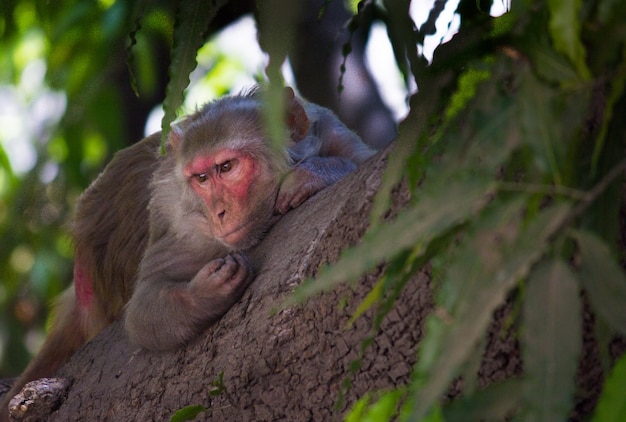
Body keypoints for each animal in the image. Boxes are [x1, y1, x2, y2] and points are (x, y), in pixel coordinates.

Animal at [1, 87, 376, 420]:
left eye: (226, 168)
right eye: (201, 178)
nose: (219, 212)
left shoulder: (330, 130)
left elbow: (370, 162)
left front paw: (310, 175)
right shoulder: (187, 227)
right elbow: (141, 310)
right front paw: (205, 294)